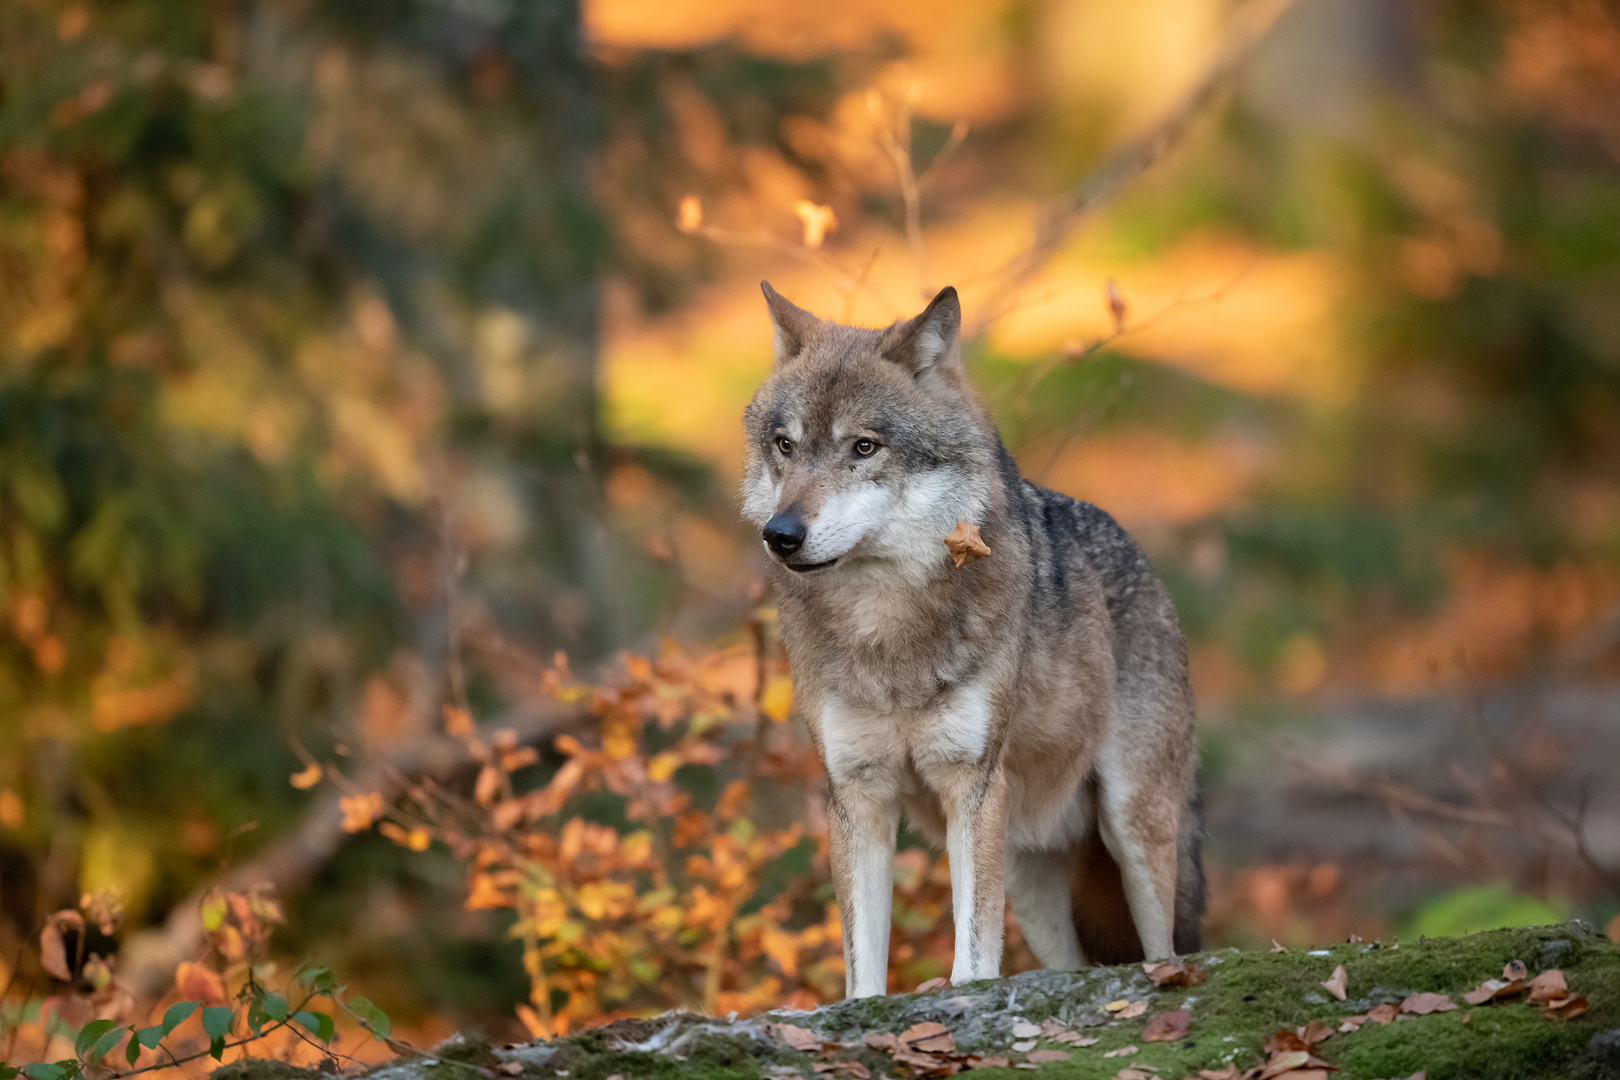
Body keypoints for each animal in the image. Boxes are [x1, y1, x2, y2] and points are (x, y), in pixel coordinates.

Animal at [741, 283, 1198, 1003]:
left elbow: (974, 955)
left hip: (1131, 830)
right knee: (1071, 963)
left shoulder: (971, 785)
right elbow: (862, 968)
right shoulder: (857, 797)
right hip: (1028, 875)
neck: (886, 633)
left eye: (864, 448)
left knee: (1163, 951)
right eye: (785, 445)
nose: (780, 534)